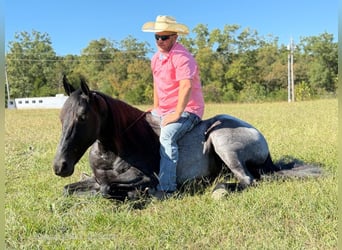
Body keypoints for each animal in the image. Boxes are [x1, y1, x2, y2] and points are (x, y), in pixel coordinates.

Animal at [52, 75, 322, 200]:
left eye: (83, 116)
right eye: (61, 116)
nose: (60, 166)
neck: (113, 152)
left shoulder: (147, 179)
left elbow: (109, 189)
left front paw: (132, 195)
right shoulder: (95, 179)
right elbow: (70, 189)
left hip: (222, 141)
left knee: (247, 180)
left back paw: (220, 190)